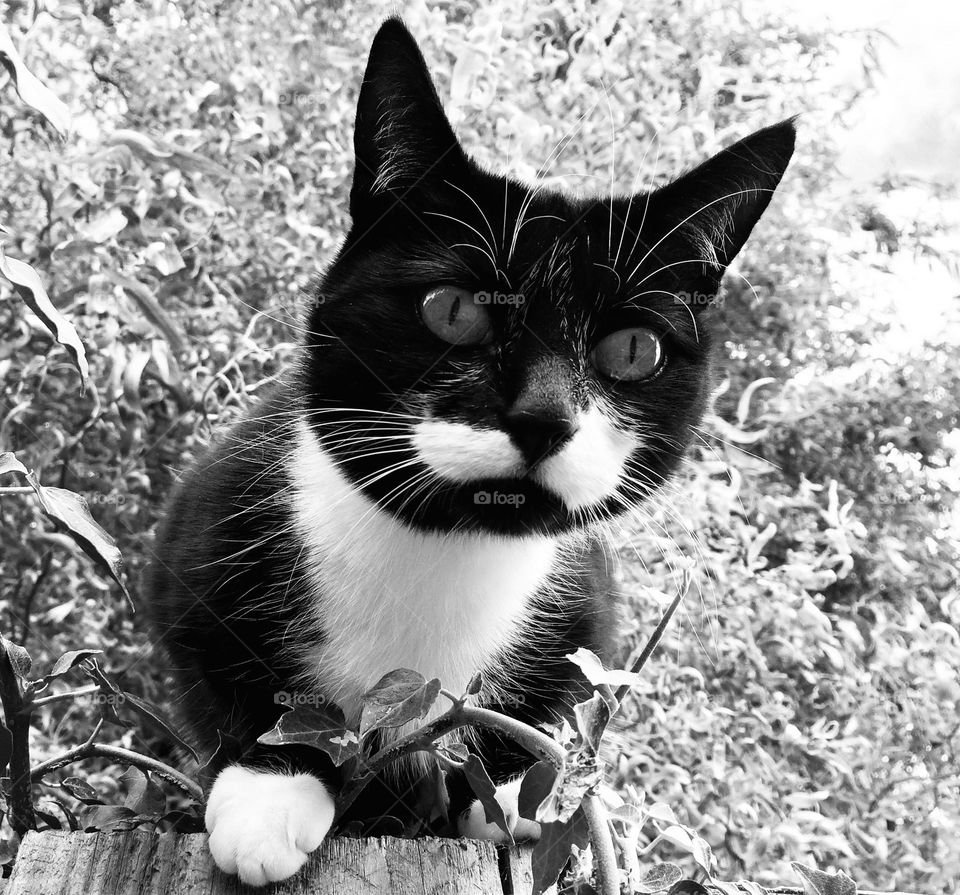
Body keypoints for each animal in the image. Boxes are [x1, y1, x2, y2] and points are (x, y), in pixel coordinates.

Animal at [146, 14, 796, 888]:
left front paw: (521, 790)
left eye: (633, 349)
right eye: (453, 309)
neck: (442, 553)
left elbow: (543, 708)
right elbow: (223, 674)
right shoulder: (199, 535)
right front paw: (271, 789)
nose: (543, 416)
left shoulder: (586, 611)